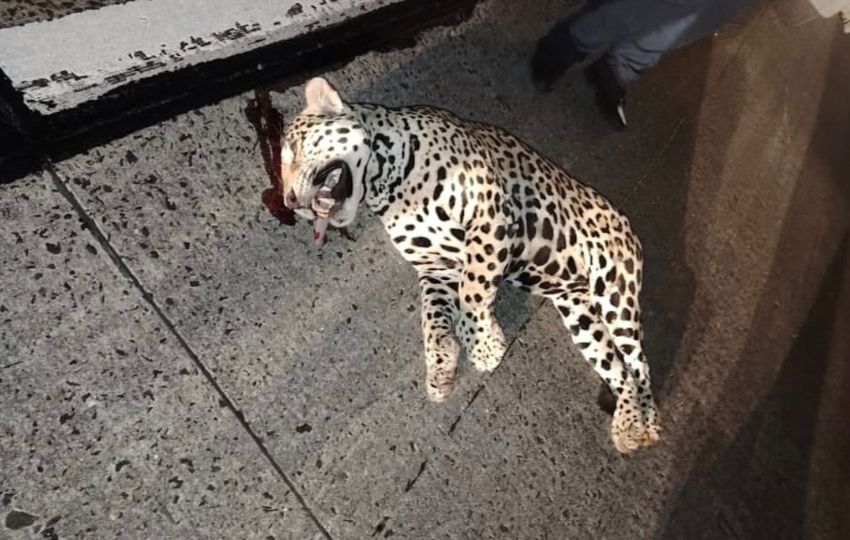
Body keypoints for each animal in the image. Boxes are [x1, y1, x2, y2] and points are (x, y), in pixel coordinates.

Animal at [277, 77, 660, 453]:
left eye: (294, 148)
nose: (290, 202)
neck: (387, 185)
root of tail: (625, 220)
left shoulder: (488, 210)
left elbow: (473, 288)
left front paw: (484, 344)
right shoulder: (436, 268)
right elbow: (432, 318)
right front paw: (441, 364)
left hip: (616, 294)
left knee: (639, 363)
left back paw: (648, 424)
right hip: (579, 314)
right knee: (619, 370)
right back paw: (627, 425)